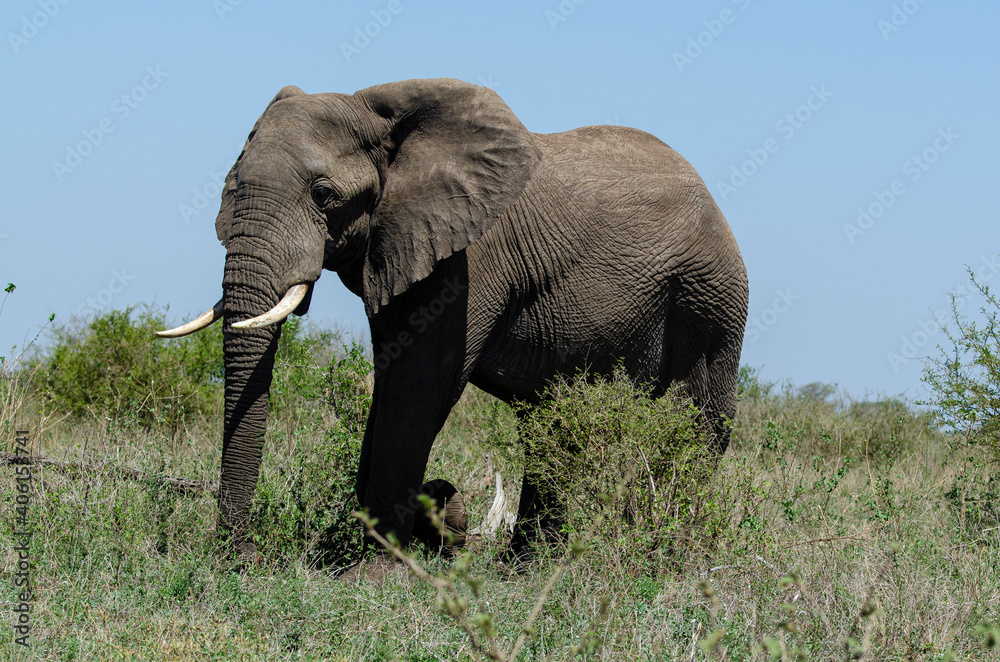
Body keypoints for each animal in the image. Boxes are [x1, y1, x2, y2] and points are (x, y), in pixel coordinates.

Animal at [158, 78, 748, 562]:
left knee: (697, 428)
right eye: (232, 187)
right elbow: (390, 384)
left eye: (323, 196)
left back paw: (669, 561)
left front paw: (377, 573)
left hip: (710, 299)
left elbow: (419, 387)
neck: (380, 115)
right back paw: (524, 571)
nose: (241, 559)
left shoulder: (470, 259)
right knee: (552, 429)